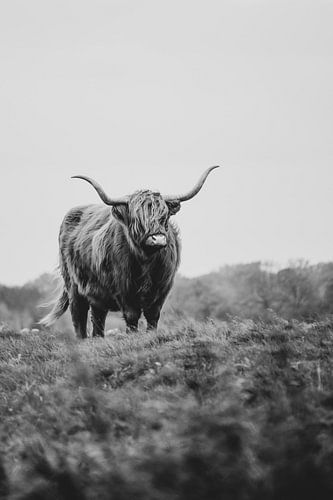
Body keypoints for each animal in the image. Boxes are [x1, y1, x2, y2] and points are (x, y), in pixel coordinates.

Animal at [41, 167, 218, 336]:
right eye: (137, 218)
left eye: (165, 215)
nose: (158, 239)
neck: (147, 261)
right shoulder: (123, 289)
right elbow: (132, 316)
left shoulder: (163, 287)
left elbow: (153, 315)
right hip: (73, 287)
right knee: (79, 319)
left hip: (97, 294)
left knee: (97, 321)